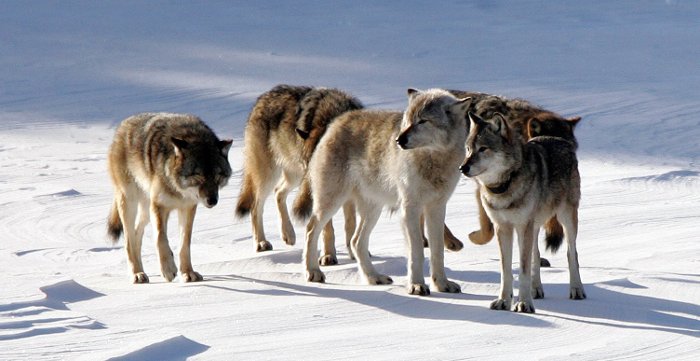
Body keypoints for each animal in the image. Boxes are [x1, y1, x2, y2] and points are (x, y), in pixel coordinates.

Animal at [106, 111, 232, 282]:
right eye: (198, 175)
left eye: (217, 176)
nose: (212, 201)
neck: (178, 189)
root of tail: (123, 125)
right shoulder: (159, 206)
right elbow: (160, 238)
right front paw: (168, 269)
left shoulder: (188, 208)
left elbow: (185, 244)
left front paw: (188, 273)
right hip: (130, 203)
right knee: (128, 240)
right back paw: (137, 274)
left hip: (145, 210)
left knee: (137, 233)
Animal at [235, 84, 364, 256]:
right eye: (310, 164)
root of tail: (261, 99)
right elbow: (327, 227)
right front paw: (329, 255)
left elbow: (350, 223)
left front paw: (354, 253)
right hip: (270, 176)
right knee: (256, 206)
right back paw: (261, 242)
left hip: (294, 176)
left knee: (278, 192)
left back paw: (288, 234)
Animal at [296, 88, 468, 296]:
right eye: (407, 120)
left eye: (423, 121)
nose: (399, 140)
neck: (433, 160)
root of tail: (336, 122)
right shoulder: (410, 209)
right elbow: (417, 252)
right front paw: (416, 285)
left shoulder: (437, 208)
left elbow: (437, 252)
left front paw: (442, 284)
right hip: (332, 202)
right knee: (311, 230)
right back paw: (313, 272)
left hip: (373, 209)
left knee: (355, 241)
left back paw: (373, 277)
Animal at [448, 90, 580, 264]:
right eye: (469, 149)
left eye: (572, 147)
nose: (463, 168)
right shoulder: (482, 191)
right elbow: (488, 232)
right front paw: (475, 238)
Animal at [460, 111, 584, 310]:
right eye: (468, 149)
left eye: (483, 149)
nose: (462, 168)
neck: (505, 185)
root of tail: (560, 140)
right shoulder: (502, 227)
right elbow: (506, 270)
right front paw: (504, 301)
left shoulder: (523, 226)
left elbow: (523, 271)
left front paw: (524, 303)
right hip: (534, 226)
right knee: (536, 254)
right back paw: (536, 290)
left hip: (566, 218)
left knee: (571, 253)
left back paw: (577, 290)